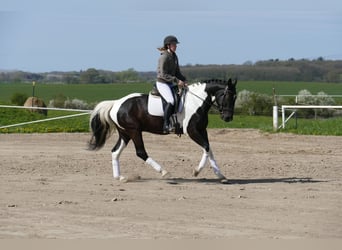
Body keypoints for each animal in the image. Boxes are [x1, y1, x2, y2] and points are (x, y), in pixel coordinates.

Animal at [89, 78, 238, 182]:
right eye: (227, 96)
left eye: (235, 97)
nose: (228, 118)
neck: (196, 102)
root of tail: (116, 103)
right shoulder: (192, 131)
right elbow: (206, 147)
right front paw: (196, 171)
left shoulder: (202, 130)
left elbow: (209, 149)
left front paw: (220, 175)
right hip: (134, 131)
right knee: (141, 152)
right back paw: (164, 172)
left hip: (125, 133)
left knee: (115, 152)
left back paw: (120, 177)